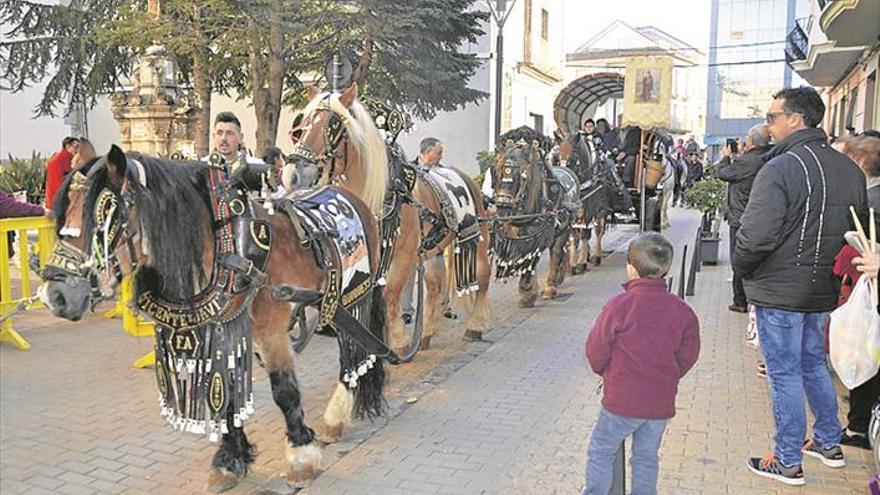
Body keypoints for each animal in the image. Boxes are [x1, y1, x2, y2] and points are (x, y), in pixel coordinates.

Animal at [40, 146, 412, 492]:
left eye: (105, 217)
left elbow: (285, 392)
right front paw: (230, 459)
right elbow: (225, 396)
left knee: (353, 352)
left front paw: (300, 454)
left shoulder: (271, 333)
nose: (55, 295)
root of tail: (351, 196)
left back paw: (337, 413)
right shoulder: (220, 332)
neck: (231, 250)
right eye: (63, 214)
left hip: (352, 295)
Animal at [288, 83, 496, 350]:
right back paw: (426, 333)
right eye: (301, 127)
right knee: (435, 287)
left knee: (482, 278)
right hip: (434, 251)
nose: (294, 174)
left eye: (332, 125)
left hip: (477, 239)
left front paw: (397, 342)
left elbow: (390, 298)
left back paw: (475, 326)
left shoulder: (402, 258)